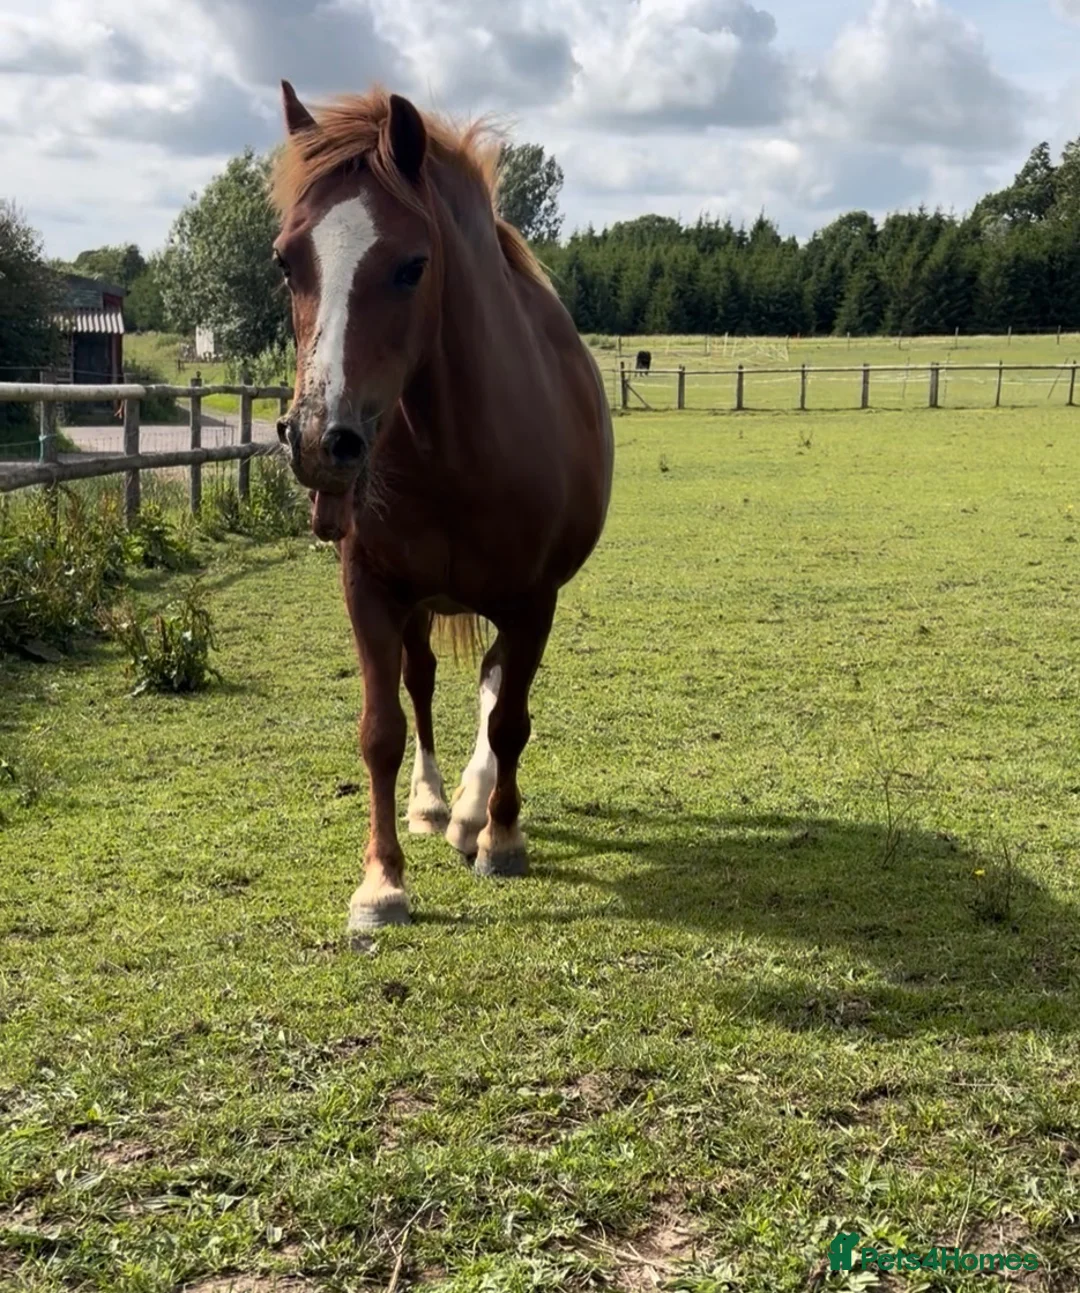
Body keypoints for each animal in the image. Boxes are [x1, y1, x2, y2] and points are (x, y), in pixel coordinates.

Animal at [271, 81, 615, 931]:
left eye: (412, 266)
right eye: (286, 261)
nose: (320, 440)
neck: (459, 447)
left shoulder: (534, 600)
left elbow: (510, 718)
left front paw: (500, 837)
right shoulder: (370, 588)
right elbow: (381, 728)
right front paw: (381, 882)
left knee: (493, 688)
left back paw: (469, 812)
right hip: (422, 602)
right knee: (424, 681)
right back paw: (434, 804)